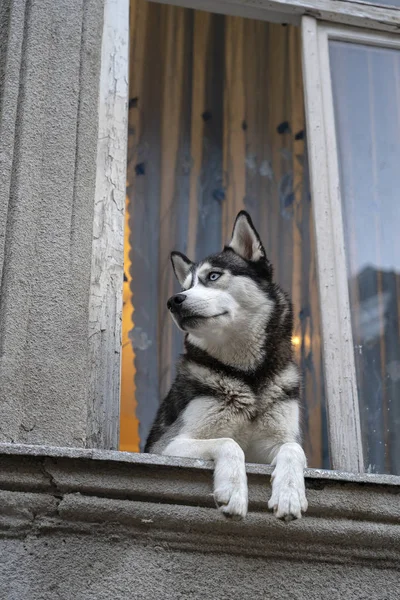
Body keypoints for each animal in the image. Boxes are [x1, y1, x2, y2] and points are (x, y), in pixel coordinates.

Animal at [145, 211, 308, 520]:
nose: (174, 301)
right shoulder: (165, 446)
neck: (248, 375)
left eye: (213, 276)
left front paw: (290, 494)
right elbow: (229, 443)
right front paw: (233, 491)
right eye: (186, 287)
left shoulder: (278, 439)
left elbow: (293, 449)